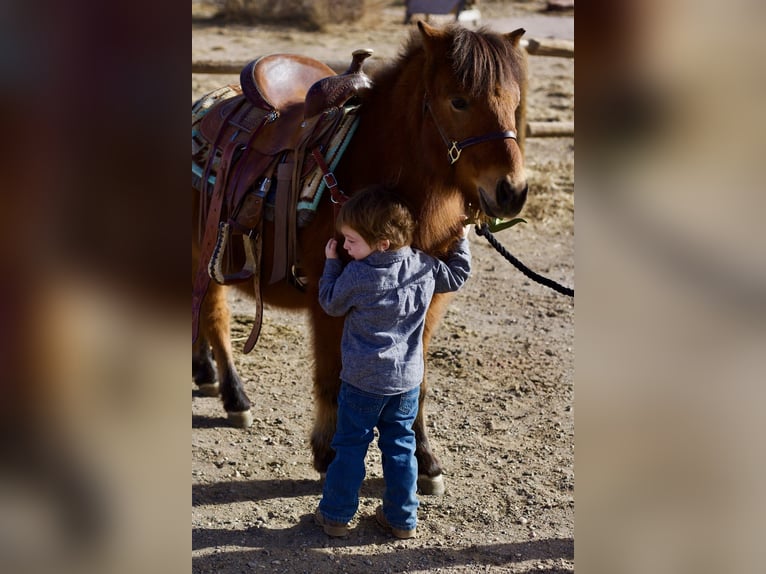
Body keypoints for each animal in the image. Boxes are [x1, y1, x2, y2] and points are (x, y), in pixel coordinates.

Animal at [192, 21, 528, 495]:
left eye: (514, 102)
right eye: (459, 101)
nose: (511, 191)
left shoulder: (430, 302)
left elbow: (417, 381)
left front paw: (425, 461)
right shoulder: (329, 302)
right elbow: (331, 376)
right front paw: (327, 454)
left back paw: (204, 374)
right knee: (215, 317)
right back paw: (234, 396)